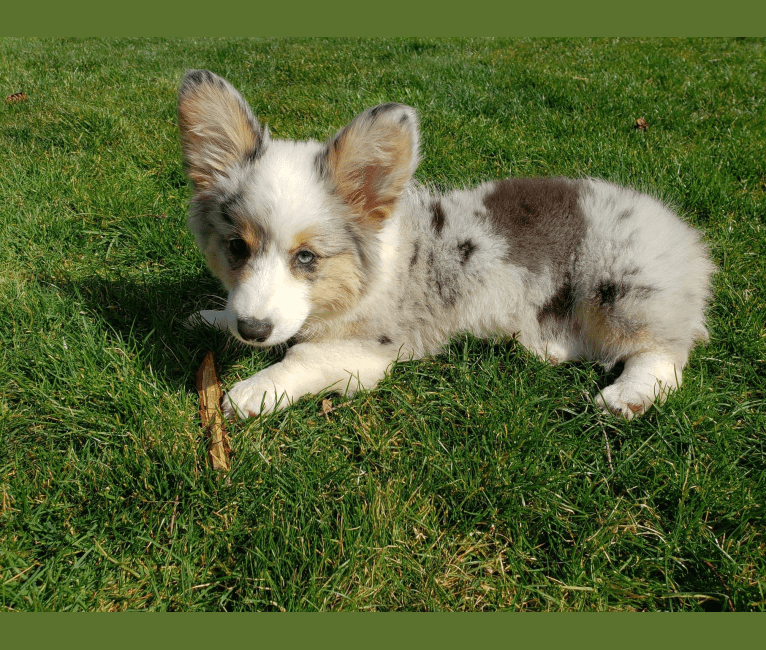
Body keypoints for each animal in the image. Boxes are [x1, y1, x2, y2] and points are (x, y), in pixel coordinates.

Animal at [177, 68, 716, 418]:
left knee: (664, 356)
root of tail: (686, 238)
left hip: (621, 289)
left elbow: (299, 359)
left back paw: (626, 397)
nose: (252, 329)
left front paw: (249, 393)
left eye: (306, 257)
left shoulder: (364, 353)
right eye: (237, 248)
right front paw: (209, 317)